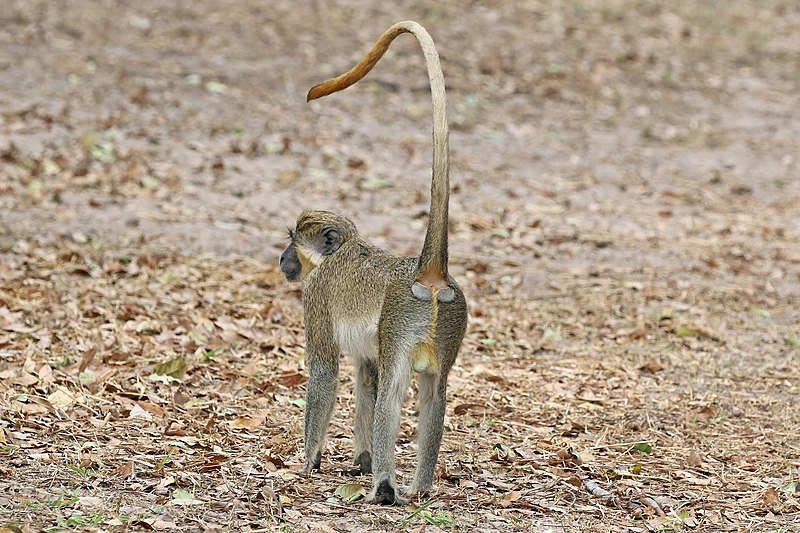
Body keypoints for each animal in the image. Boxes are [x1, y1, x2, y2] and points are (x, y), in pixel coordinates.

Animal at [282, 19, 468, 502]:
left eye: (292, 241)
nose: (283, 259)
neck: (344, 250)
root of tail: (428, 274)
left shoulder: (317, 297)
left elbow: (327, 372)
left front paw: (309, 462)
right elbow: (365, 375)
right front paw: (360, 460)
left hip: (402, 321)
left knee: (393, 389)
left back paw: (384, 487)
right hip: (450, 321)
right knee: (433, 393)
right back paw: (418, 486)